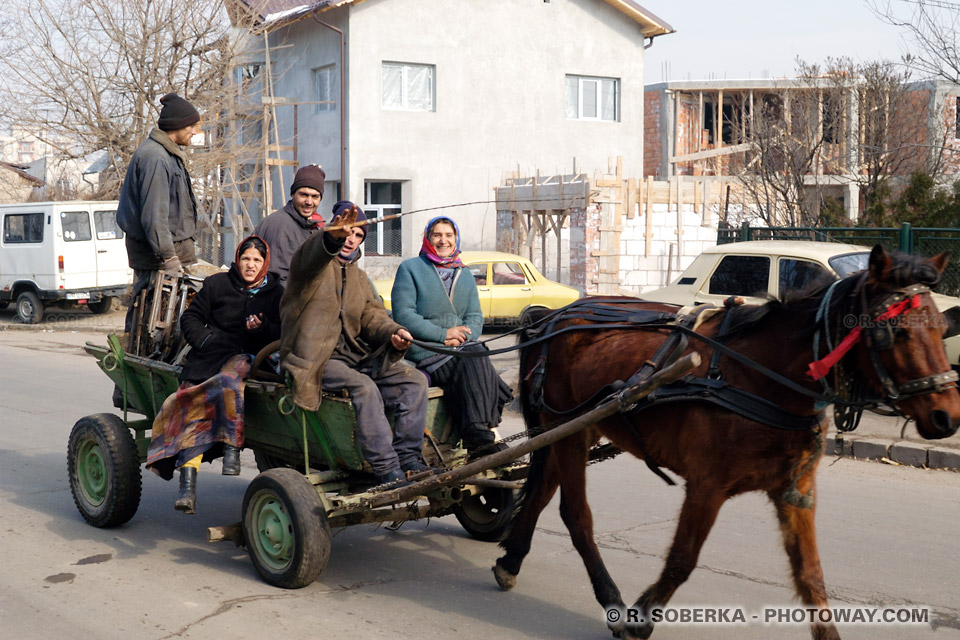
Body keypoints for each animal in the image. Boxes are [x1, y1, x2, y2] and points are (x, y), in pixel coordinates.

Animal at [496, 246, 960, 640]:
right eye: (896, 331)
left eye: (942, 327)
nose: (947, 416)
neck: (760, 375)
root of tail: (553, 316)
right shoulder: (707, 486)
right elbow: (682, 559)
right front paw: (640, 620)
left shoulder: (796, 490)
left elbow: (811, 576)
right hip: (570, 431)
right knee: (576, 515)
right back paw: (608, 595)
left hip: (576, 429)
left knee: (541, 491)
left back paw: (511, 558)